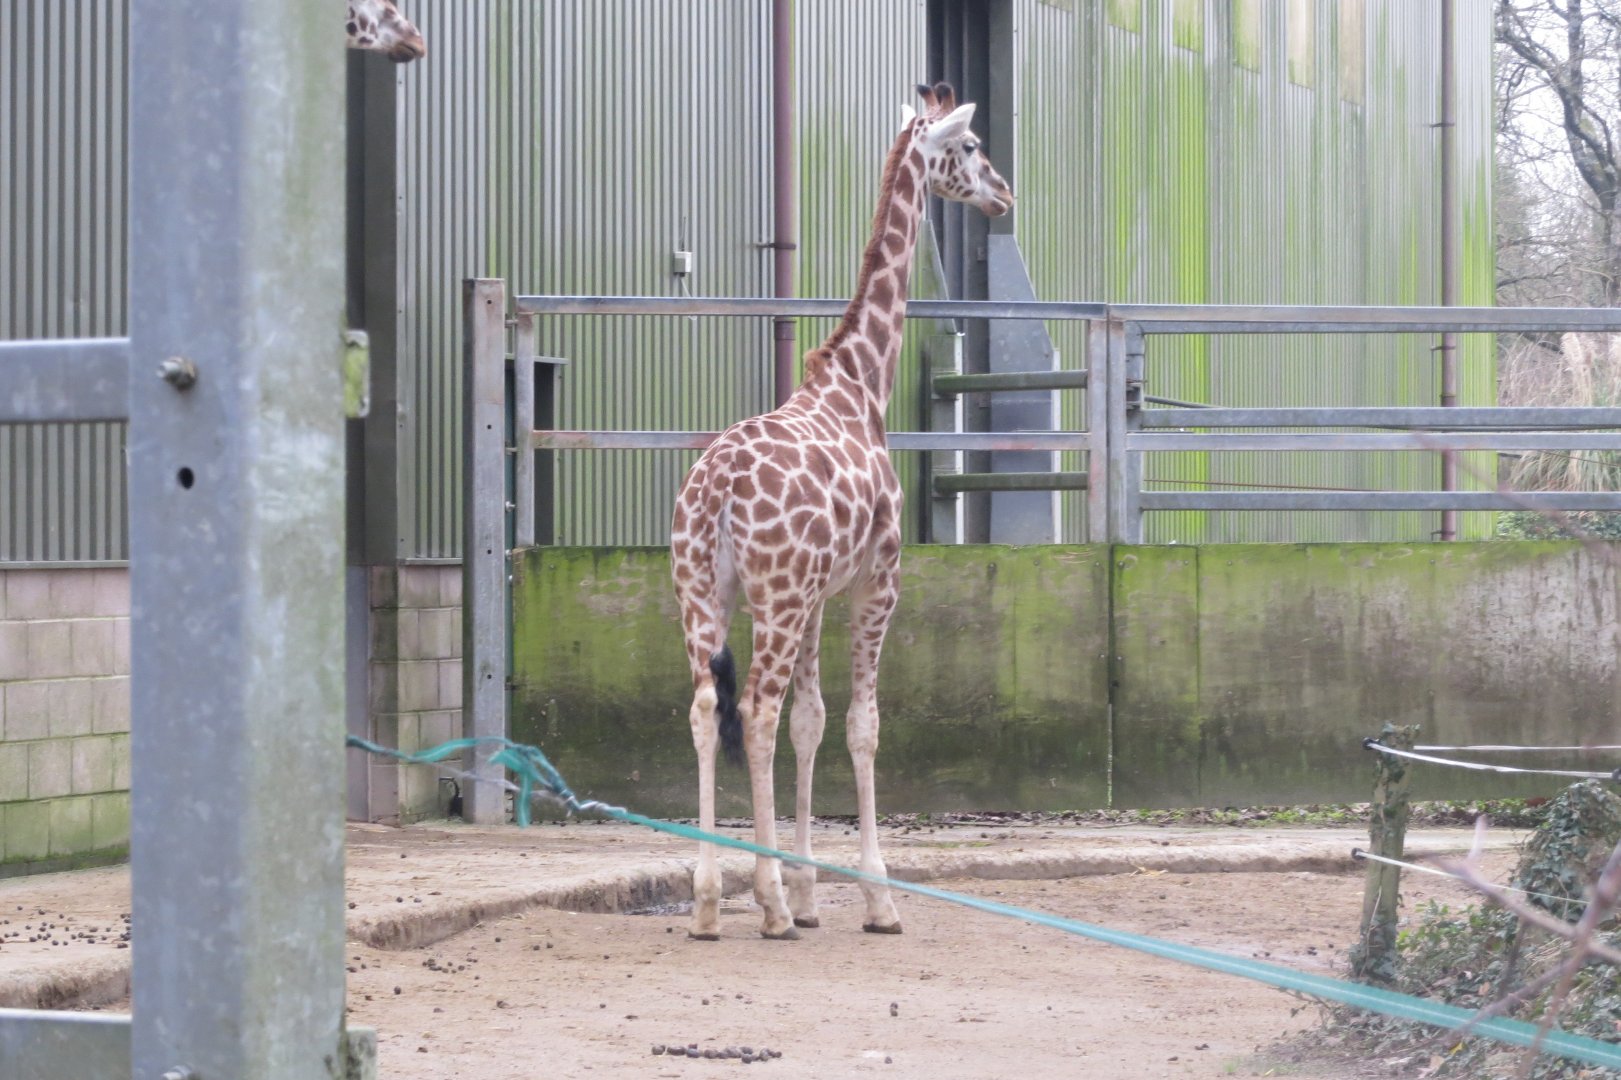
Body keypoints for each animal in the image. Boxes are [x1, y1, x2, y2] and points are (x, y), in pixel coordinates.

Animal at [671, 82, 1012, 941]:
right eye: (970, 146)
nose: (1003, 194)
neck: (862, 381)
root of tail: (715, 490)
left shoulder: (820, 594)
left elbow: (812, 721)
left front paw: (807, 890)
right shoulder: (876, 581)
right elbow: (860, 725)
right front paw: (873, 897)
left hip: (703, 593)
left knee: (705, 706)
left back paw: (707, 901)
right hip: (773, 597)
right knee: (753, 711)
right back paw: (762, 907)